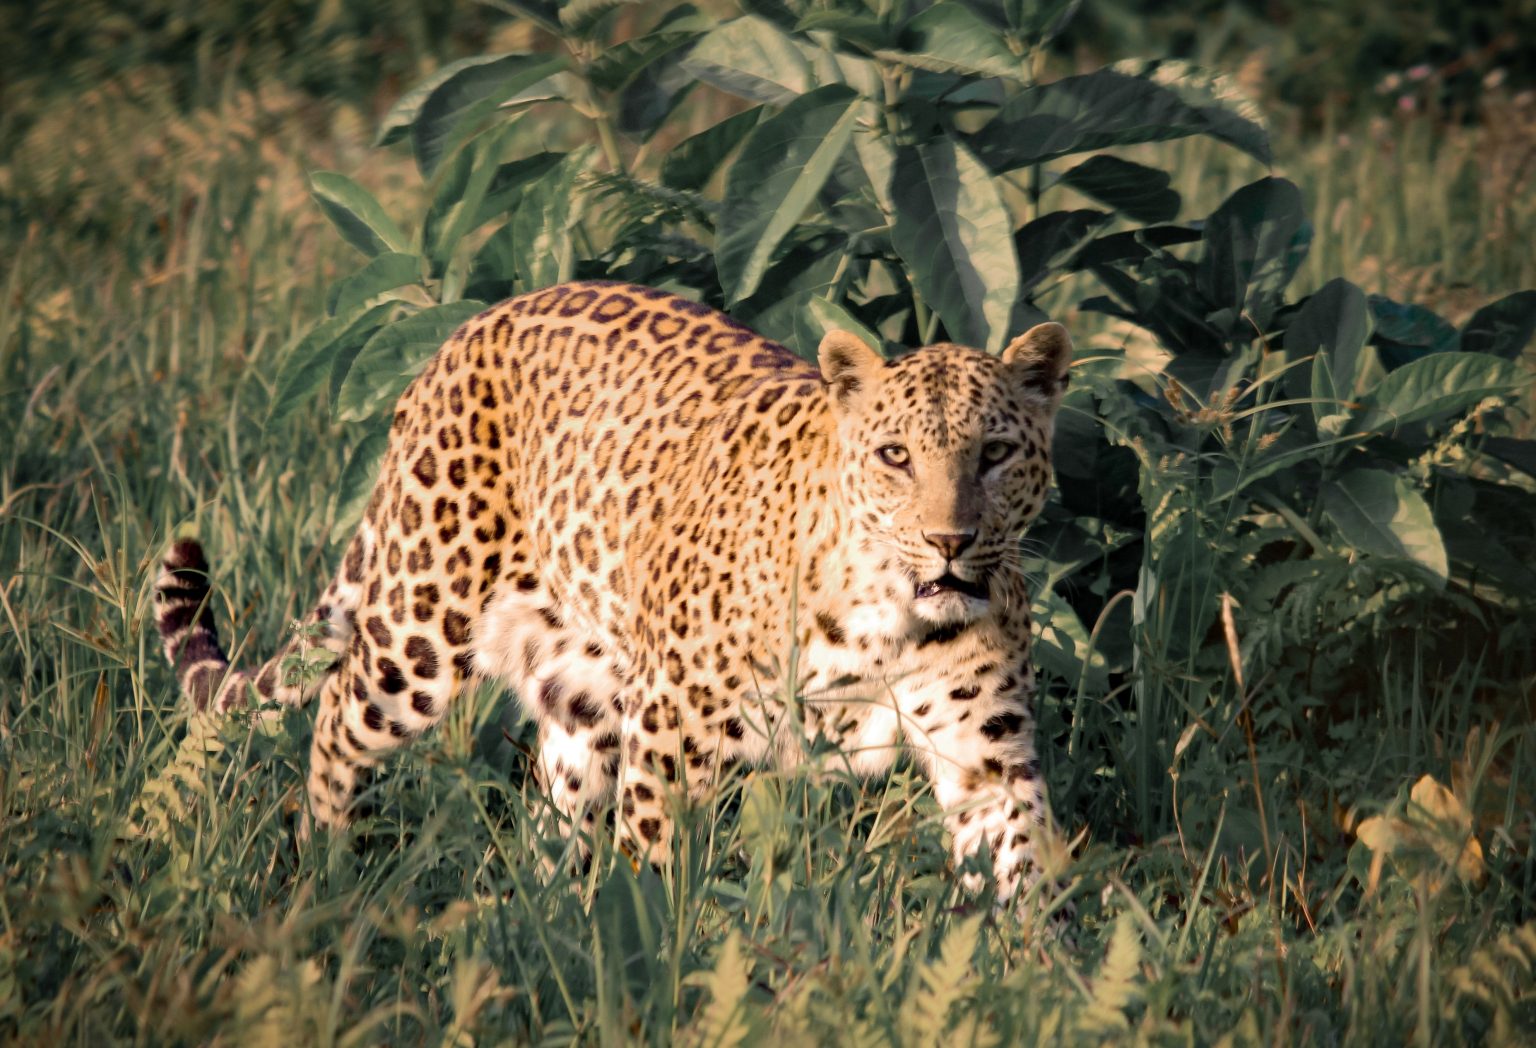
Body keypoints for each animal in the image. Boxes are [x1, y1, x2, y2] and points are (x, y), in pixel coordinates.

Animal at [156, 280, 1075, 908]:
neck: (890, 614)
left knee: (557, 804)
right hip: (422, 618)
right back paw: (329, 868)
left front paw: (1039, 978)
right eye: (895, 456)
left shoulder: (984, 750)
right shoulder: (676, 729)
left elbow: (1023, 857)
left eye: (995, 453)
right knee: (338, 710)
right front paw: (654, 950)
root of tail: (471, 328)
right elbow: (655, 859)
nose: (950, 542)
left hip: (584, 683)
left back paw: (553, 915)